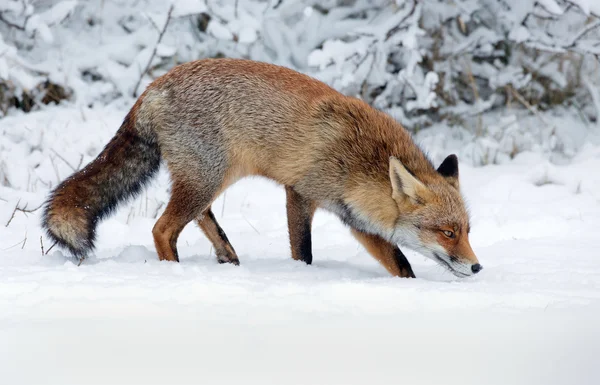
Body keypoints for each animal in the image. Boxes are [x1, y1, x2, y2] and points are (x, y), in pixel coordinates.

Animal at [41, 57, 482, 276]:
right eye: (446, 232)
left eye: (466, 231)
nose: (477, 267)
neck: (359, 158)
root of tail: (153, 86)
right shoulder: (301, 193)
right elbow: (303, 252)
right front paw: (302, 277)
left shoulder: (355, 217)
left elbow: (400, 263)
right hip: (206, 177)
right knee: (162, 228)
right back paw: (176, 274)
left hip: (212, 177)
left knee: (201, 217)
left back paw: (228, 257)